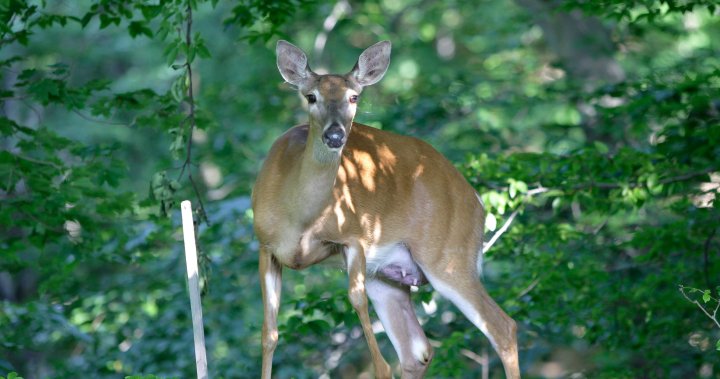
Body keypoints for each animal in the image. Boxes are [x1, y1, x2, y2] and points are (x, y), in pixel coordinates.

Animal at [250, 40, 520, 378]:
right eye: (311, 96)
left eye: (354, 96)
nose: (335, 135)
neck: (299, 218)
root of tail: (476, 199)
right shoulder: (266, 246)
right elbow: (269, 333)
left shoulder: (354, 236)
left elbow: (356, 302)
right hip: (391, 274)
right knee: (418, 350)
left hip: (449, 254)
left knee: (503, 327)